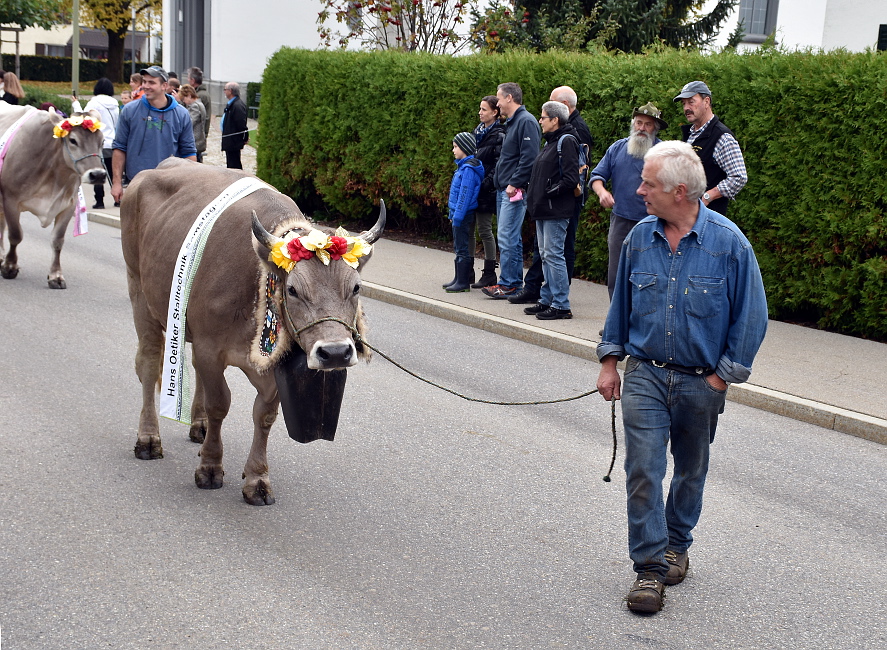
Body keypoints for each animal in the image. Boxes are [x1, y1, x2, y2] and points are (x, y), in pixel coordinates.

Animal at [0, 104, 106, 286]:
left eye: (102, 141)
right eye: (73, 140)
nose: (98, 175)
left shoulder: (68, 205)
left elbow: (57, 241)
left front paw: (56, 276)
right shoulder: (10, 199)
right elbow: (15, 235)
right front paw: (10, 267)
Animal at [119, 158, 386, 506]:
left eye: (356, 287)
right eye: (293, 290)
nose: (335, 352)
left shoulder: (269, 363)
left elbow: (265, 416)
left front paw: (257, 478)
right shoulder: (210, 347)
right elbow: (220, 404)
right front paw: (210, 467)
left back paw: (199, 426)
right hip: (140, 293)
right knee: (149, 363)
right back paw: (149, 439)